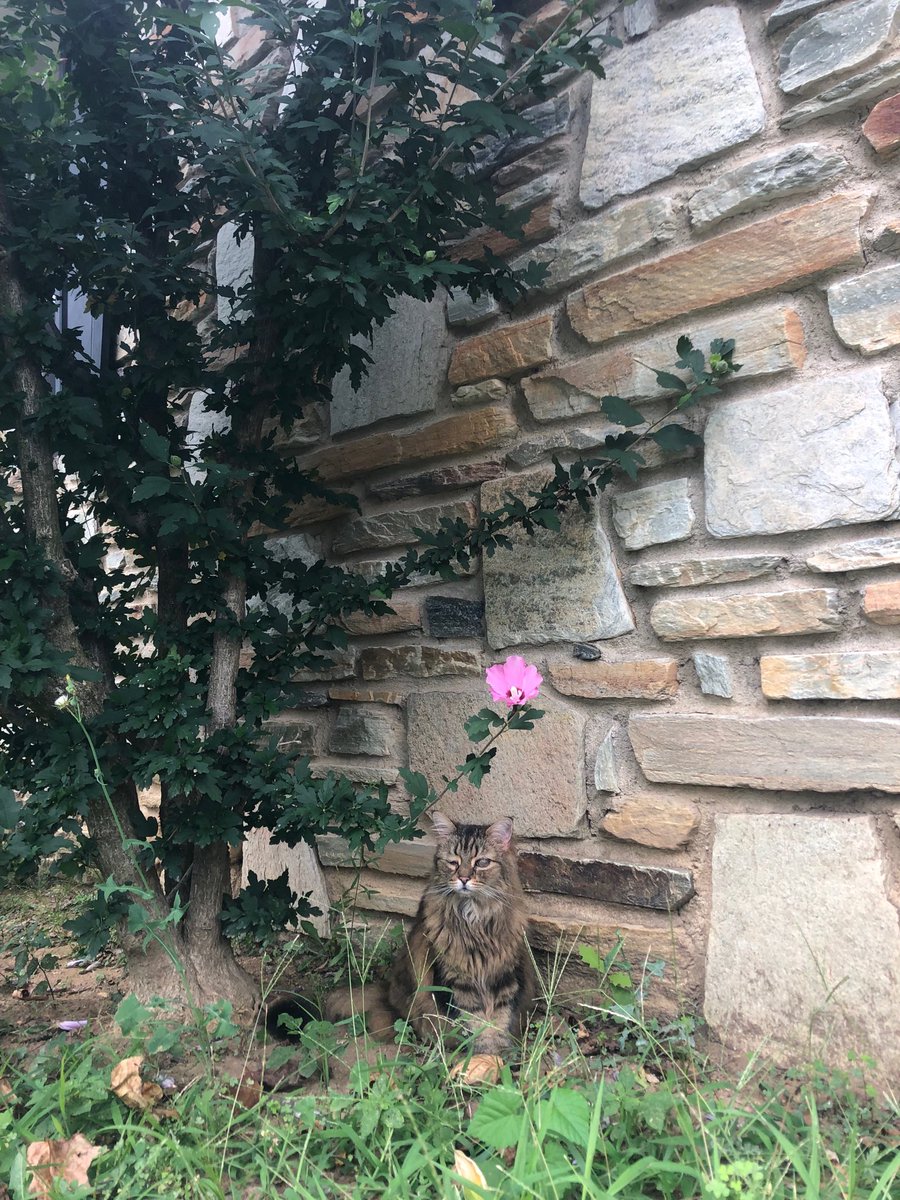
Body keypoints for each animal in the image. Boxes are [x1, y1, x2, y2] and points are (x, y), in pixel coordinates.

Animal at [324, 811, 535, 1056]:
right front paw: (483, 1053)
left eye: (482, 862)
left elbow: (499, 1020)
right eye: (453, 863)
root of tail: (388, 989)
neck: (474, 918)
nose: (464, 879)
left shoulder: (504, 976)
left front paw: (498, 1053)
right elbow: (475, 1020)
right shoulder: (457, 980)